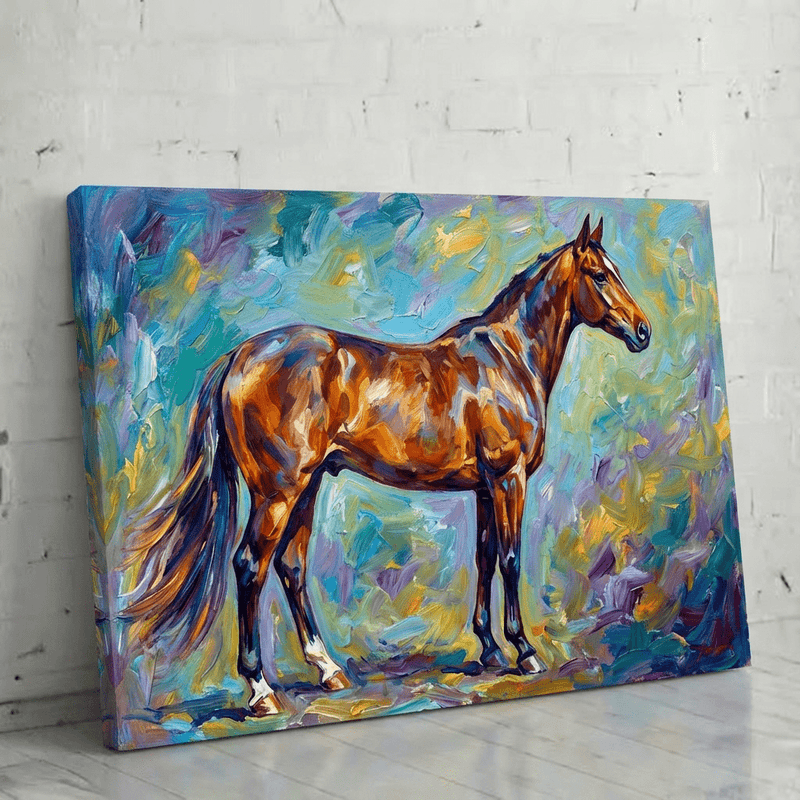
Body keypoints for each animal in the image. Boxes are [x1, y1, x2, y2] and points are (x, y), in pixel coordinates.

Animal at [124, 214, 651, 716]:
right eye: (599, 275)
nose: (643, 331)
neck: (508, 360)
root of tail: (238, 355)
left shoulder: (484, 487)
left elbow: (484, 558)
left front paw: (489, 649)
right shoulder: (508, 479)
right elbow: (511, 559)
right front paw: (524, 651)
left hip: (307, 486)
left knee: (292, 565)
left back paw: (328, 669)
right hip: (278, 492)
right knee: (251, 565)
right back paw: (260, 691)